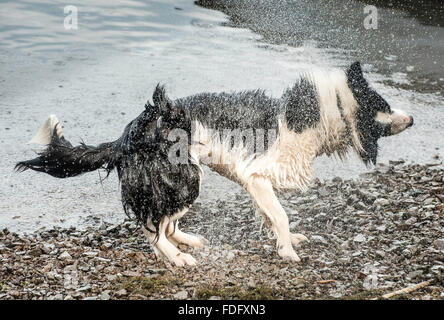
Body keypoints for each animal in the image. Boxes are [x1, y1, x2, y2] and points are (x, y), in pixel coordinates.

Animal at [16, 61, 412, 266]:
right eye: (384, 105)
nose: (412, 119)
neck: (325, 114)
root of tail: (126, 136)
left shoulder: (256, 184)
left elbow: (271, 215)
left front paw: (284, 240)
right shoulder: (257, 175)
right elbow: (280, 214)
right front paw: (287, 249)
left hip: (185, 180)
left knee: (165, 224)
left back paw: (188, 242)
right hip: (185, 177)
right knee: (152, 229)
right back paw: (178, 258)